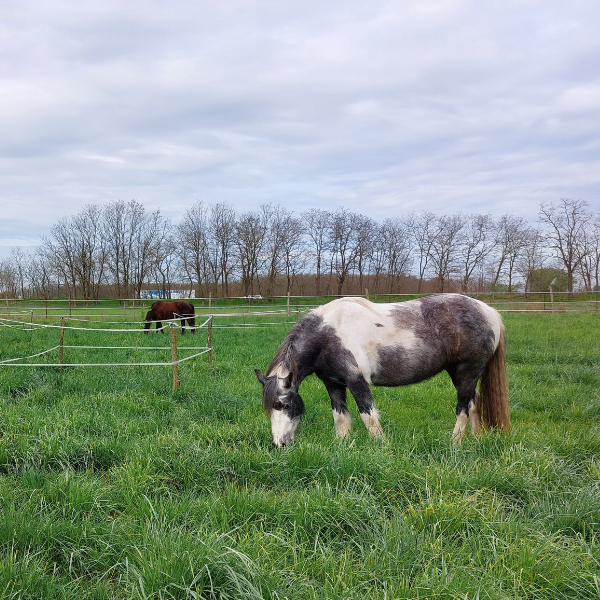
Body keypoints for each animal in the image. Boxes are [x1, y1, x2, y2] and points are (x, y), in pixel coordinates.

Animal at [255, 294, 508, 446]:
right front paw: (343, 446)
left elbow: (369, 417)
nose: (279, 444)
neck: (327, 336)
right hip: (462, 375)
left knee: (463, 408)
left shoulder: (357, 381)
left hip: (466, 372)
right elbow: (341, 418)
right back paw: (477, 438)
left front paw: (380, 448)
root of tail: (489, 312)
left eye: (285, 405)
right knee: (474, 401)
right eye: (268, 409)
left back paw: (454, 443)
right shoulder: (333, 383)